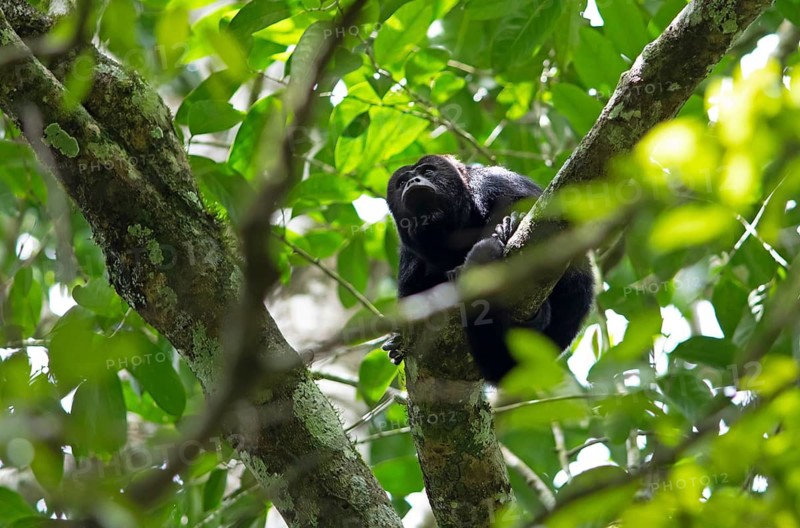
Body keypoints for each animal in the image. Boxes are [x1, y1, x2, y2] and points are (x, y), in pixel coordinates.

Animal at [382, 154, 594, 383]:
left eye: (428, 172)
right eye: (402, 182)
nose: (413, 182)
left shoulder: (492, 181)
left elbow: (521, 201)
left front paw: (508, 227)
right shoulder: (408, 255)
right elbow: (410, 294)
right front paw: (398, 342)